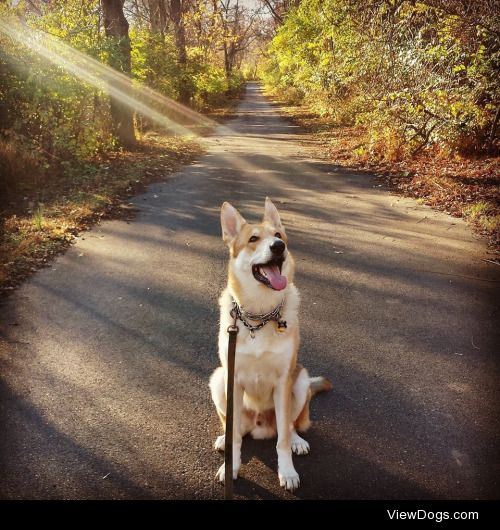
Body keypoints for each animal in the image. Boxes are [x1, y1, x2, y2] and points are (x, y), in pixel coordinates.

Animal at [208, 196, 332, 488]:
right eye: (253, 238)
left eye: (278, 235)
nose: (279, 246)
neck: (259, 316)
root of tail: (260, 426)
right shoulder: (232, 378)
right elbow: (235, 438)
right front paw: (230, 466)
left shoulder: (283, 382)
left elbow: (283, 440)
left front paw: (287, 471)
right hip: (218, 379)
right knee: (233, 428)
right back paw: (224, 438)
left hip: (299, 381)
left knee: (289, 426)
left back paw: (297, 440)